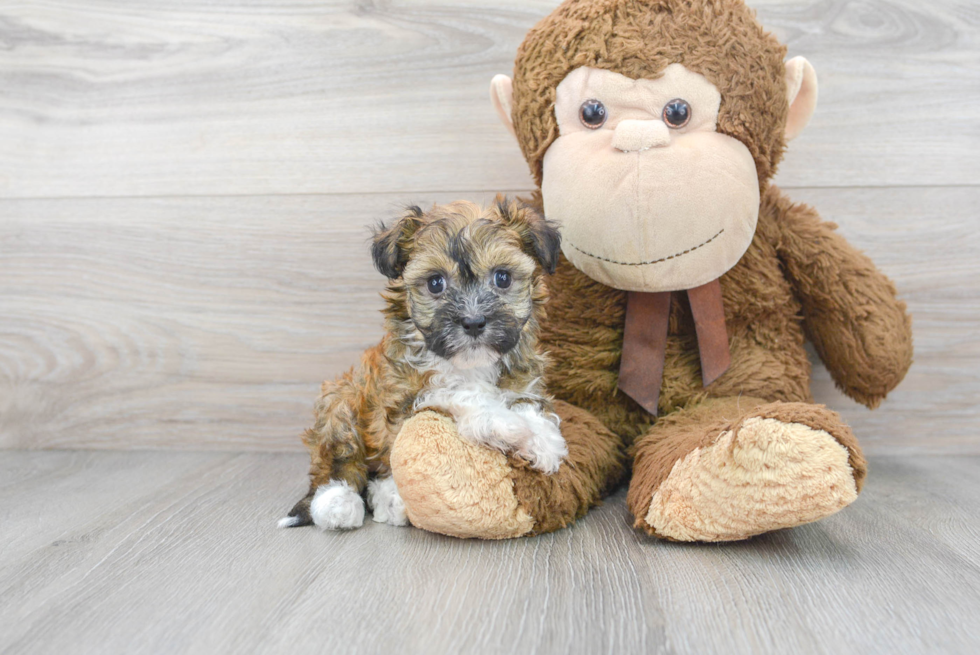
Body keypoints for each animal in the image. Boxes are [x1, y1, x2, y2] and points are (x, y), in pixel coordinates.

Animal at [280, 197, 564, 532]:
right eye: (435, 283)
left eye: (503, 278)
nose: (473, 322)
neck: (470, 364)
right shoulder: (404, 390)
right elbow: (452, 395)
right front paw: (506, 425)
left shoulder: (522, 380)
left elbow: (527, 406)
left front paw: (543, 440)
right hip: (342, 398)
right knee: (339, 462)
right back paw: (340, 503)